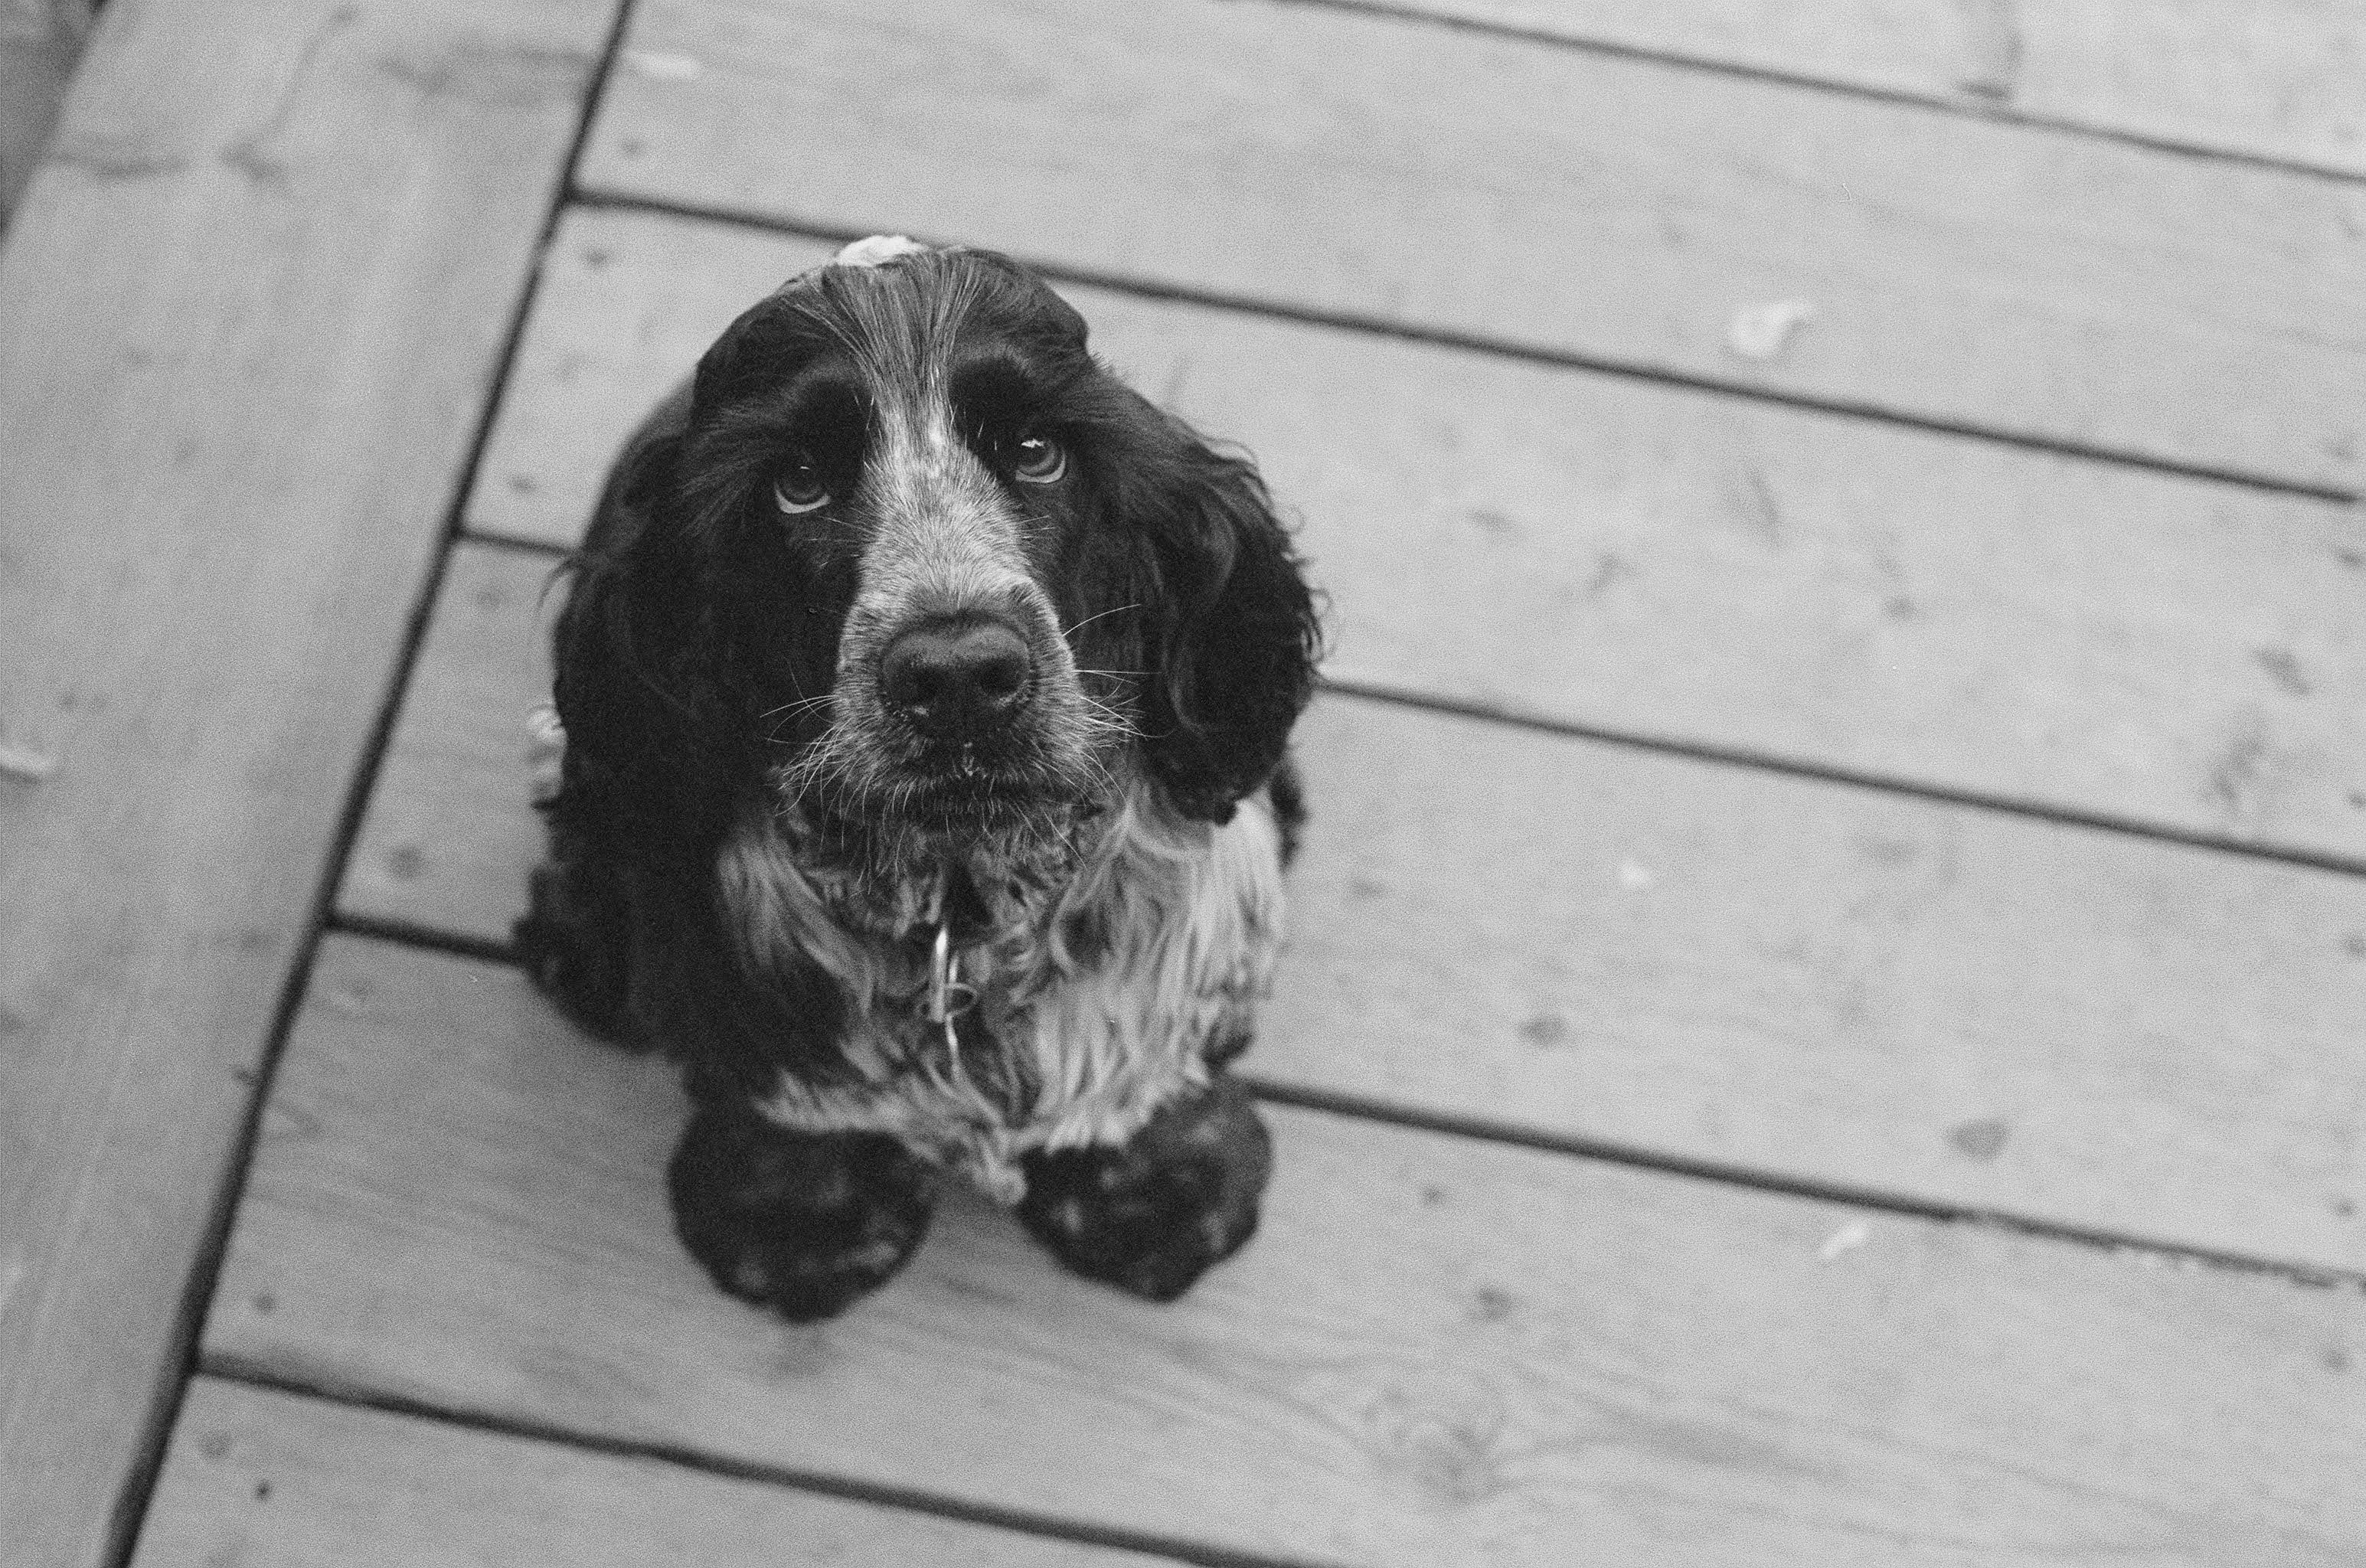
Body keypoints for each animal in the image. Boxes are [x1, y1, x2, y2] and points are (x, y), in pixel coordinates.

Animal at [518, 233, 1325, 1315]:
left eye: (1038, 451)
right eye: (798, 481)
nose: (959, 678)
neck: (960, 893)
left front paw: (1159, 1192)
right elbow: (784, 1095)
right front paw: (797, 1222)